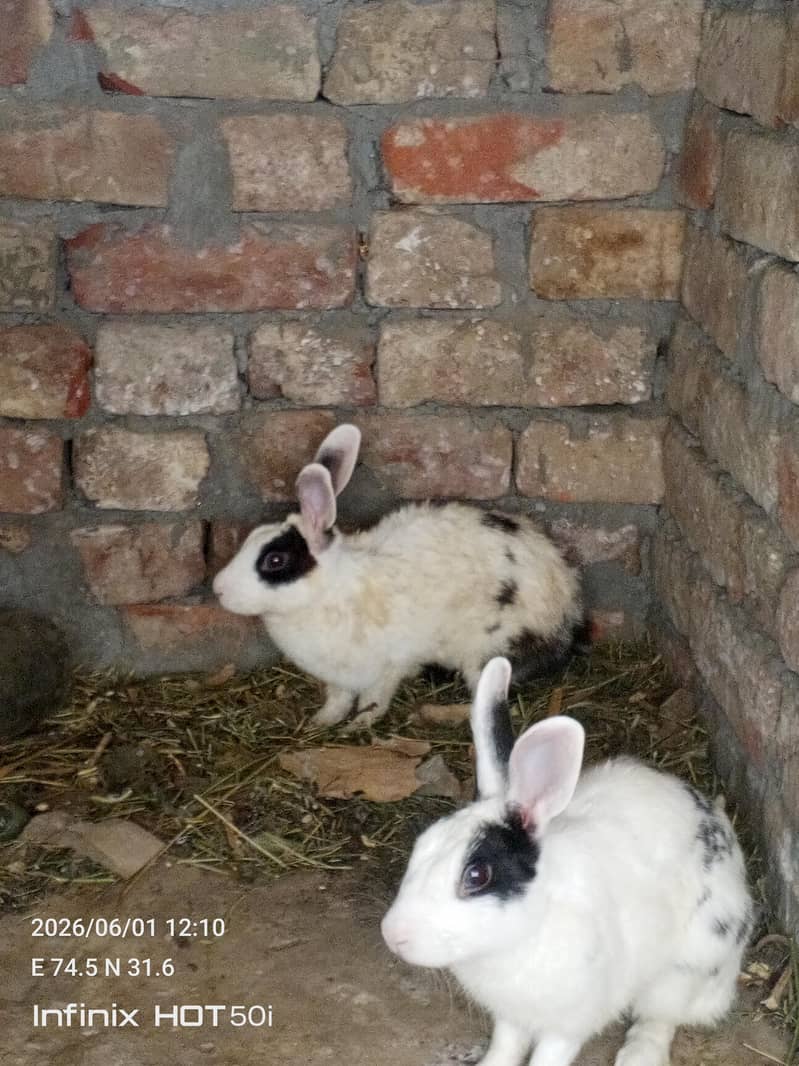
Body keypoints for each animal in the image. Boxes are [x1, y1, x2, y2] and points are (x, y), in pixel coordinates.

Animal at [213, 424, 589, 731]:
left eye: (275, 560)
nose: (218, 589)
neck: (331, 592)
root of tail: (568, 610)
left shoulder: (387, 667)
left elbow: (374, 701)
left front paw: (358, 726)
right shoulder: (338, 679)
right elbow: (338, 700)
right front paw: (322, 722)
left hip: (488, 652)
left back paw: (436, 713)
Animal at [381, 657, 753, 1066]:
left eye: (477, 875)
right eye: (421, 845)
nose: (392, 936)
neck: (523, 935)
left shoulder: (569, 1024)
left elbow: (548, 1056)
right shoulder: (510, 1017)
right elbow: (505, 1045)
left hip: (687, 966)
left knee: (659, 1018)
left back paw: (637, 1056)